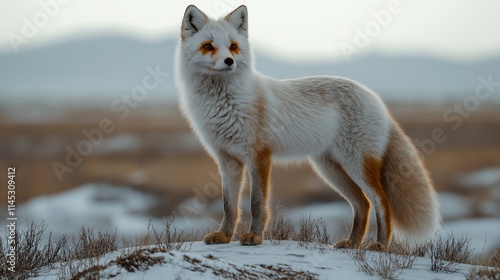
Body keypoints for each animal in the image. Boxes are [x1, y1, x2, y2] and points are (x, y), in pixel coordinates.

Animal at [174, 3, 440, 249]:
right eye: (208, 46)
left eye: (233, 46)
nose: (230, 61)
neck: (225, 104)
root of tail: (376, 99)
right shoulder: (227, 160)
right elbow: (229, 206)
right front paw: (225, 236)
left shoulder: (259, 156)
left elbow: (257, 203)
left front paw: (255, 237)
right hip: (331, 169)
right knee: (362, 203)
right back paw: (352, 243)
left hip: (355, 164)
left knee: (381, 200)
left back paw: (380, 246)